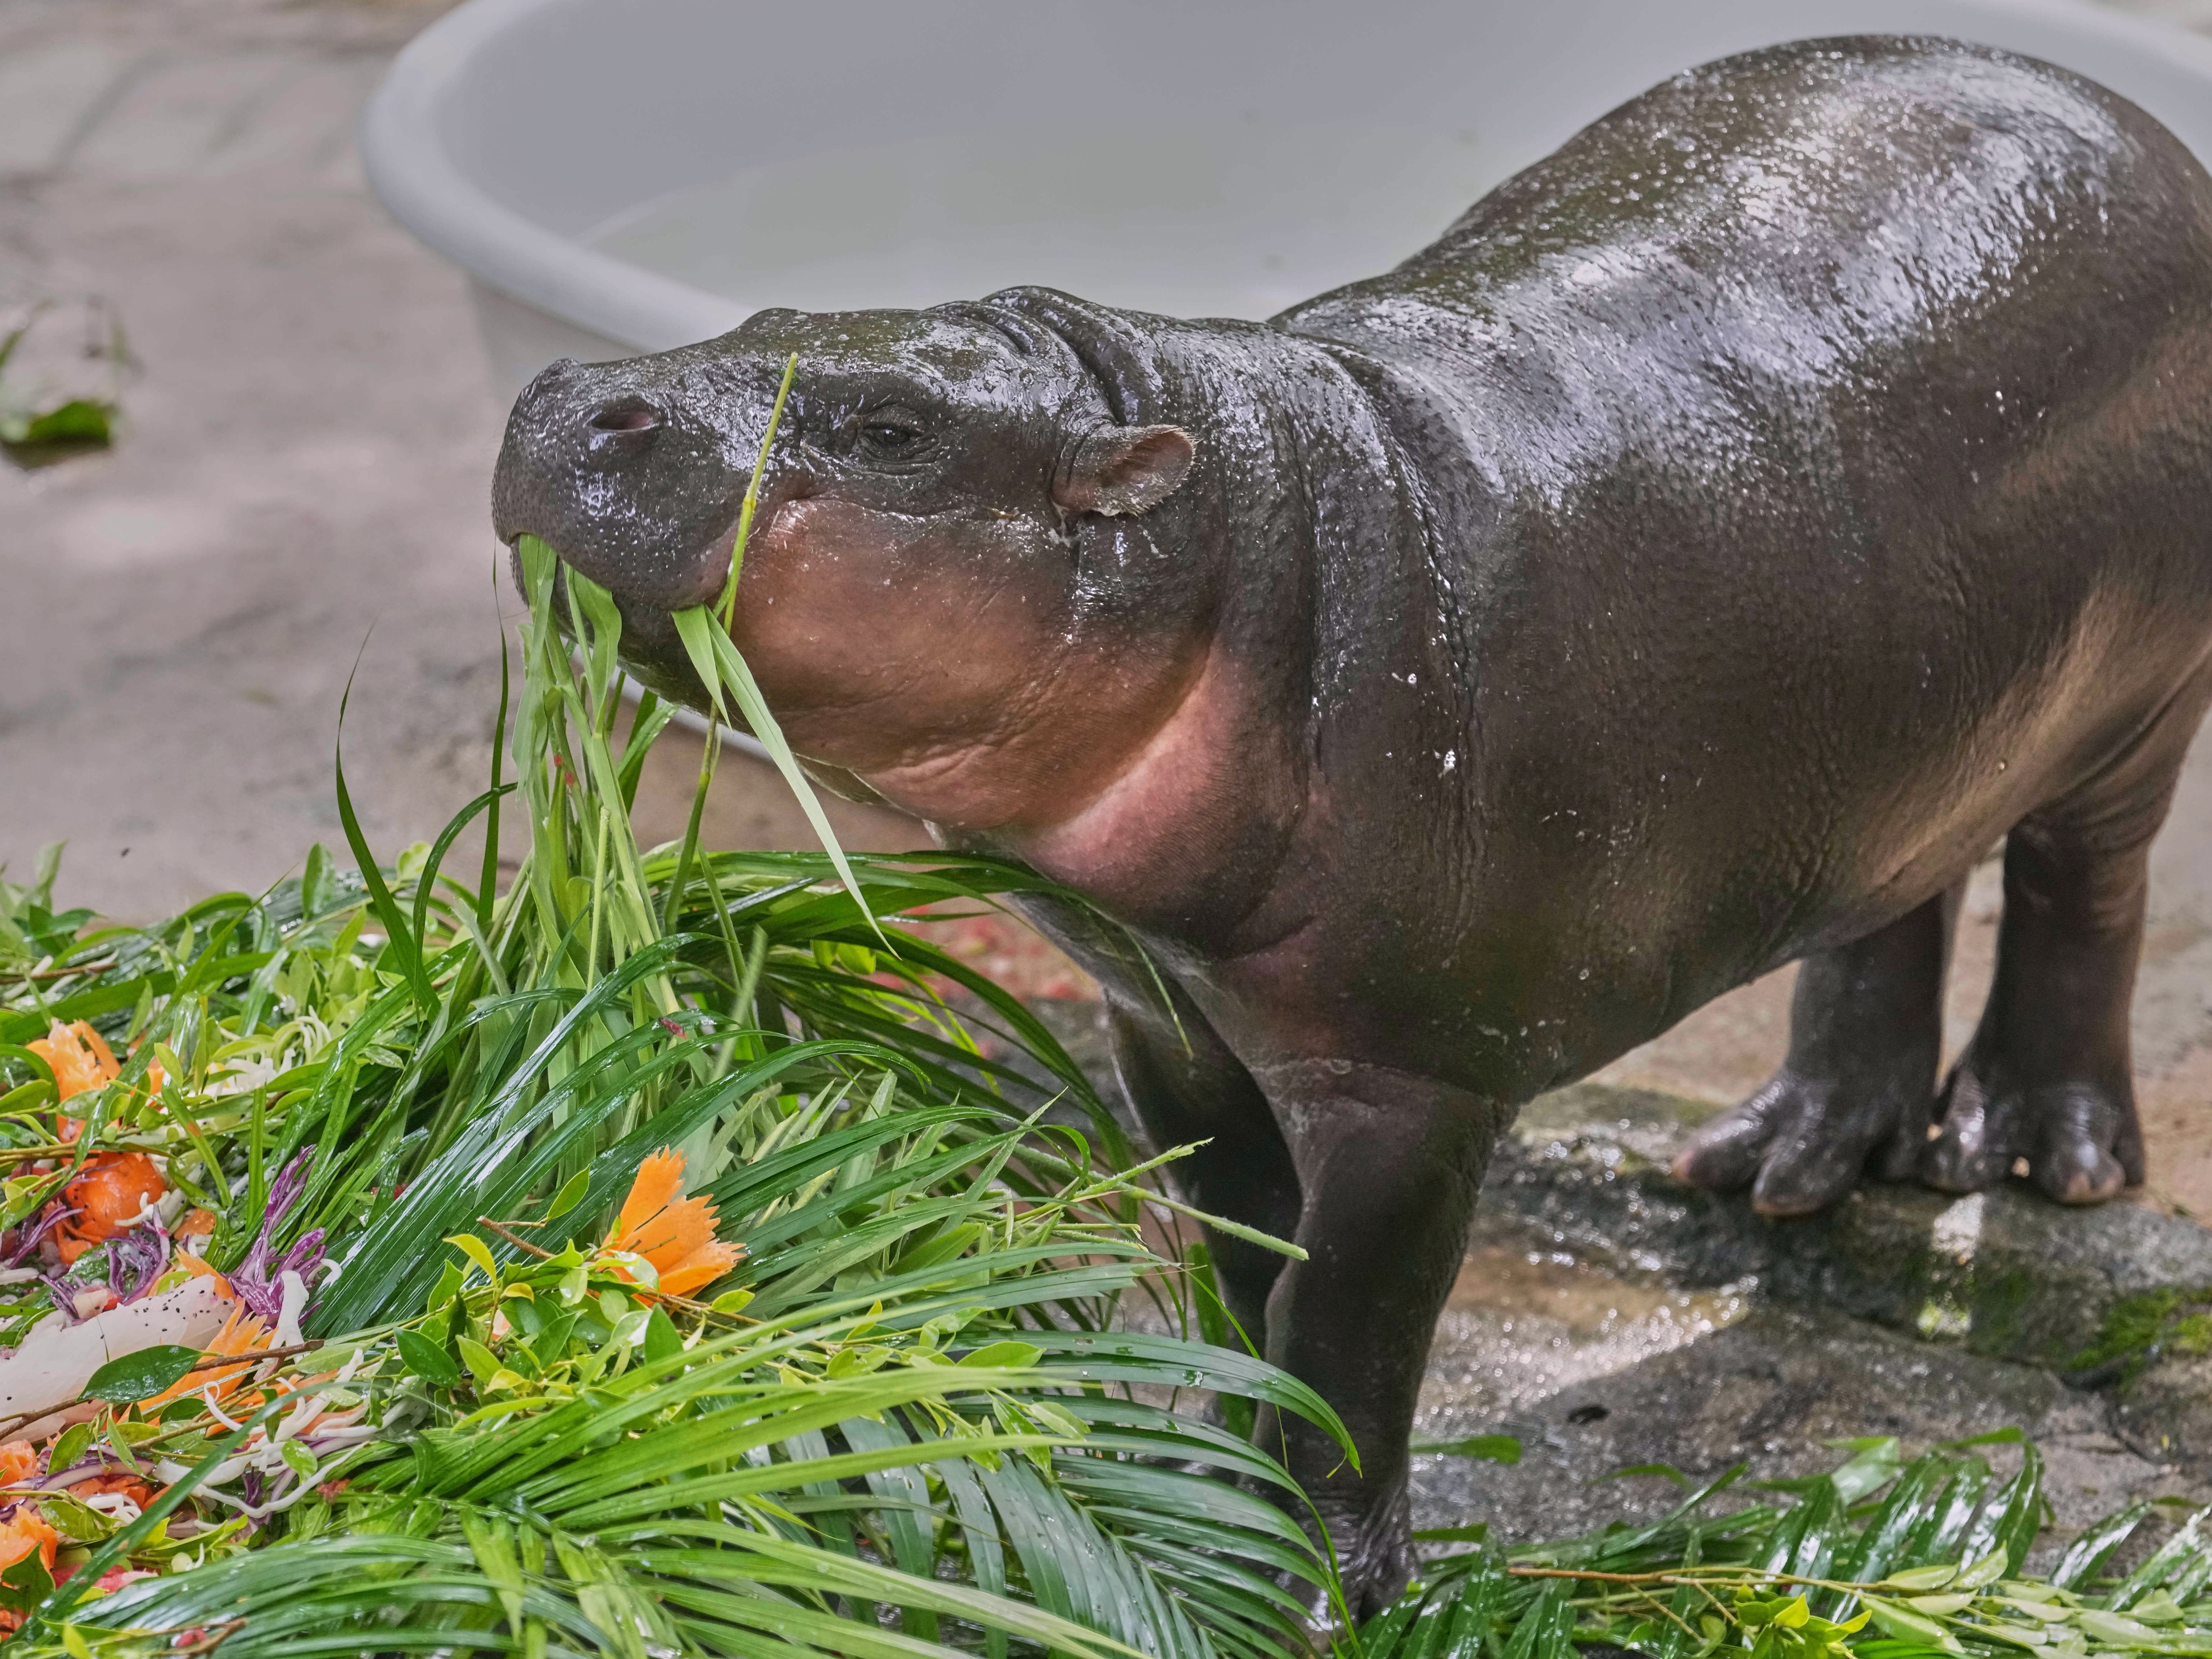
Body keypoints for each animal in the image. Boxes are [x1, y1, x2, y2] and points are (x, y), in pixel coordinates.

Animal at [492, 36, 2212, 1609]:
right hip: (1913, 734)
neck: (1244, 543)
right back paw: (1777, 1166)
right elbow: (1242, 1253)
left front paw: (1318, 1580)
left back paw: (2036, 1153)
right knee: (1894, 900)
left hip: (2132, 711)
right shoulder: (1161, 1017)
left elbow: (1345, 1319)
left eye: (890, 426)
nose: (568, 393)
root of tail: (2121, 115)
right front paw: (1211, 1488)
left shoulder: (1408, 1080)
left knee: (2079, 892)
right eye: (760, 322)